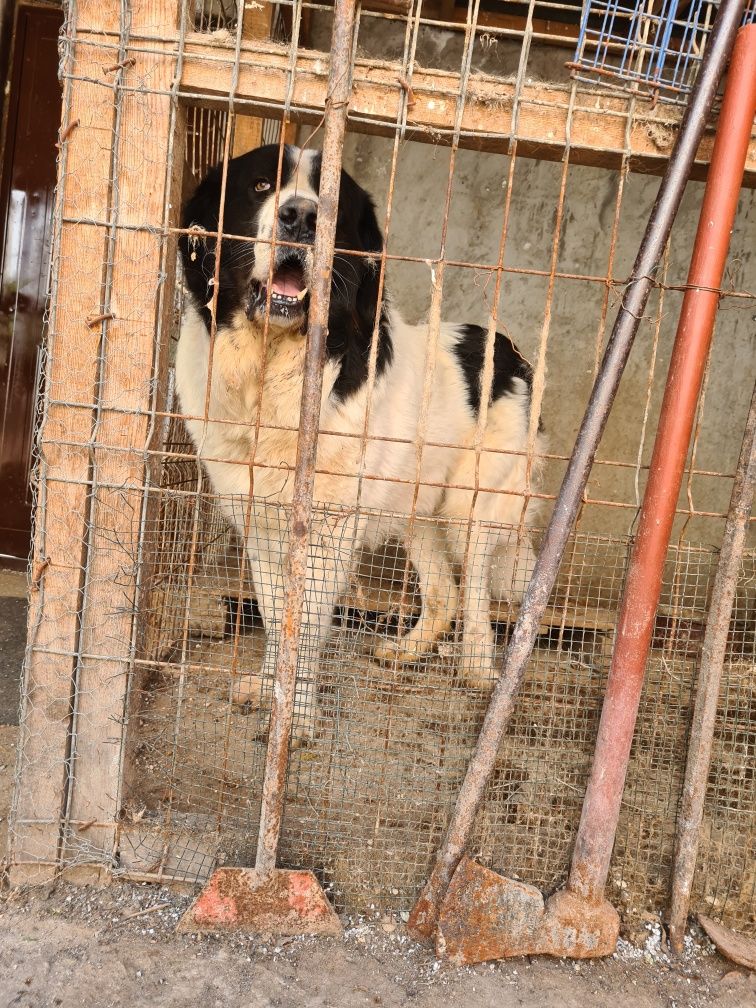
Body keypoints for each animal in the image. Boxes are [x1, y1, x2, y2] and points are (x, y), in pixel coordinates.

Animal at [176, 140, 544, 741]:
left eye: (334, 203)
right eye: (260, 186)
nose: (300, 216)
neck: (270, 373)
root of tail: (508, 349)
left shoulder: (327, 534)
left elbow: (304, 628)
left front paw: (296, 717)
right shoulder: (261, 526)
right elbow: (277, 618)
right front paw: (268, 687)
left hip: (476, 504)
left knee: (475, 589)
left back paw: (477, 669)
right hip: (414, 507)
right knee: (442, 591)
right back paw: (409, 650)